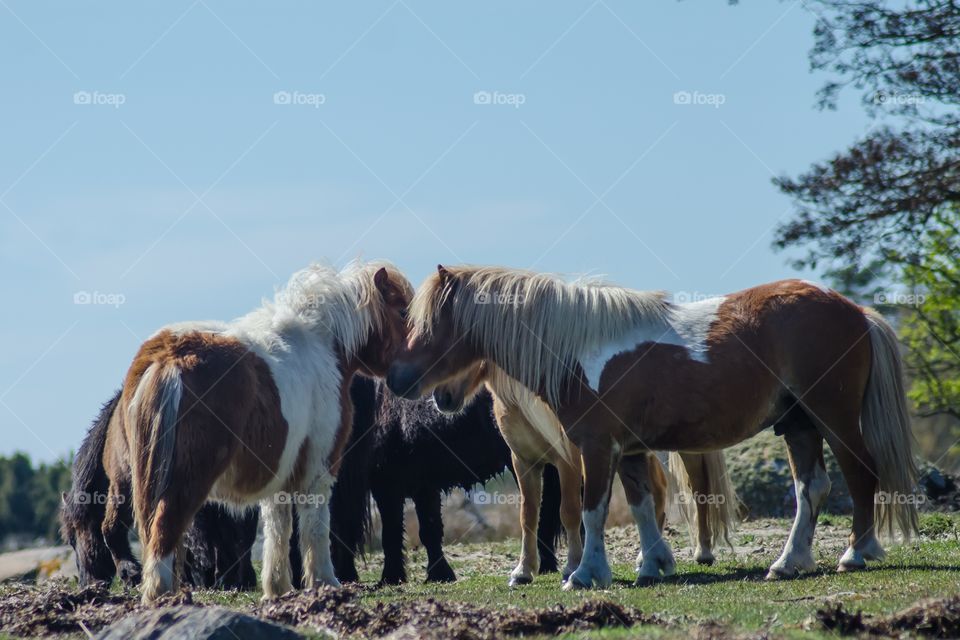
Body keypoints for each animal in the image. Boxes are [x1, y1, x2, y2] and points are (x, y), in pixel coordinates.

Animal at [105, 258, 412, 600]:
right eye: (402, 312)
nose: (407, 379)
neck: (323, 346)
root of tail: (169, 359)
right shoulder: (319, 470)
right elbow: (316, 528)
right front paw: (325, 583)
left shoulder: (279, 476)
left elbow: (278, 530)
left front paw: (277, 589)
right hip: (185, 481)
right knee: (164, 530)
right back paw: (163, 596)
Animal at [432, 360, 740, 584]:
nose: (440, 398)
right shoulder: (524, 462)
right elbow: (527, 516)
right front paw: (523, 571)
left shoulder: (567, 460)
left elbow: (569, 512)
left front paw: (571, 567)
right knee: (658, 491)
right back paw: (646, 557)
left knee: (699, 488)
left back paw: (703, 551)